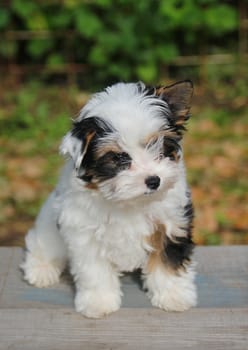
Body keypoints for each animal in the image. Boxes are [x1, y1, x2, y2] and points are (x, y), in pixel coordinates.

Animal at [20, 80, 198, 318]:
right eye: (120, 157)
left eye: (159, 146)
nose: (154, 180)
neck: (129, 201)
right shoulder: (84, 233)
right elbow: (95, 270)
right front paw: (99, 302)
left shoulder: (171, 222)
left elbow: (168, 260)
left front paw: (174, 295)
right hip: (49, 222)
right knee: (43, 243)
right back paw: (41, 269)